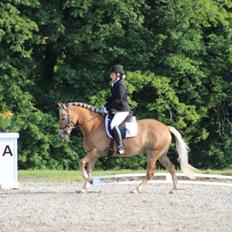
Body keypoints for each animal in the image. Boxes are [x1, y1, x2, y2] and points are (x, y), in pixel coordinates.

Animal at [58, 102, 196, 193]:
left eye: (63, 118)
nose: (60, 135)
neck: (92, 126)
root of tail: (166, 127)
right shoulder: (93, 154)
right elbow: (89, 169)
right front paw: (85, 187)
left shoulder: (96, 152)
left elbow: (81, 162)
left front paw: (88, 180)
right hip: (161, 155)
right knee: (172, 168)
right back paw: (175, 189)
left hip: (153, 154)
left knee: (150, 172)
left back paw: (137, 189)